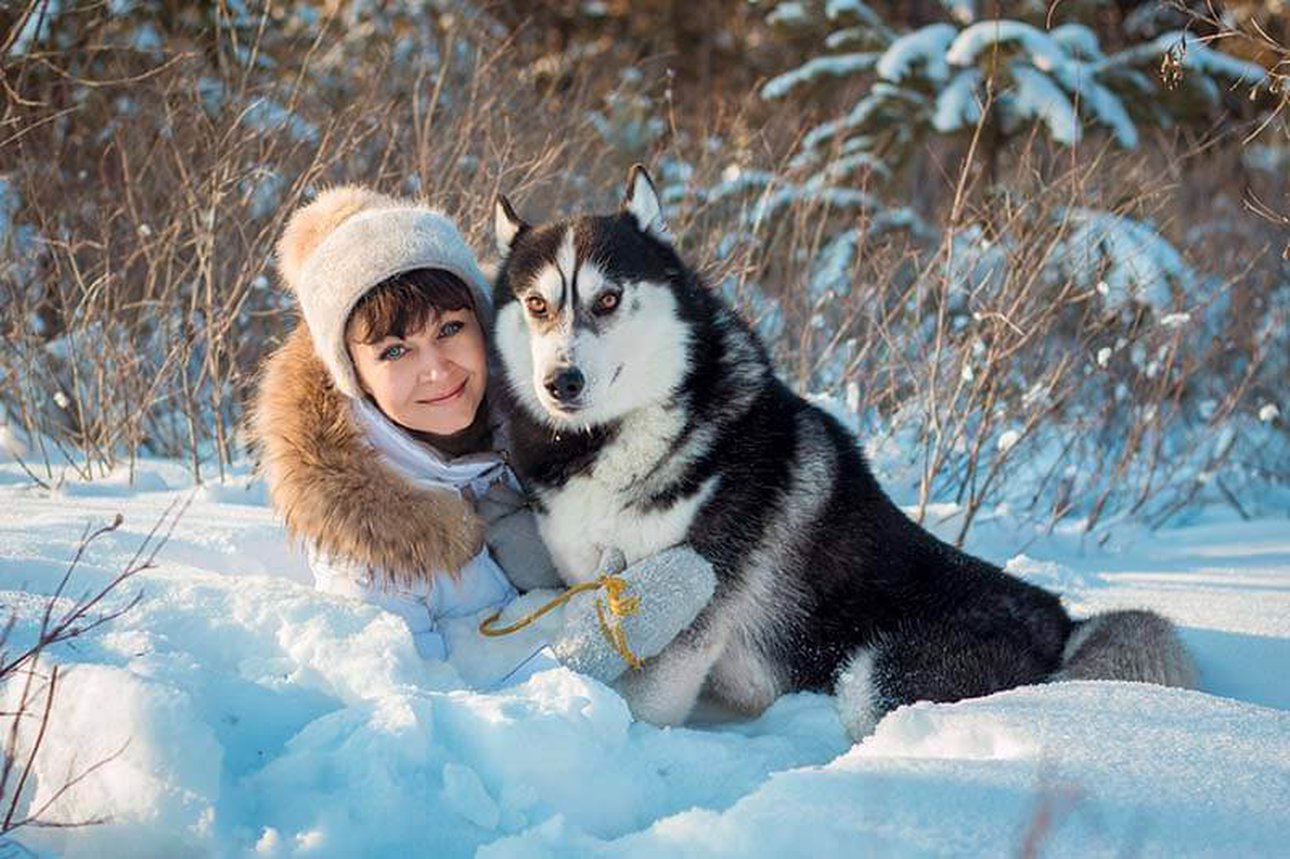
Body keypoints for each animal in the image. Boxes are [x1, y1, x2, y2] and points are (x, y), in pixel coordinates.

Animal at [485, 167, 1197, 737]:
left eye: (607, 298)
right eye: (537, 304)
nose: (562, 382)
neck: (620, 435)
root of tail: (1063, 624)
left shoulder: (689, 614)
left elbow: (647, 703)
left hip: (876, 675)